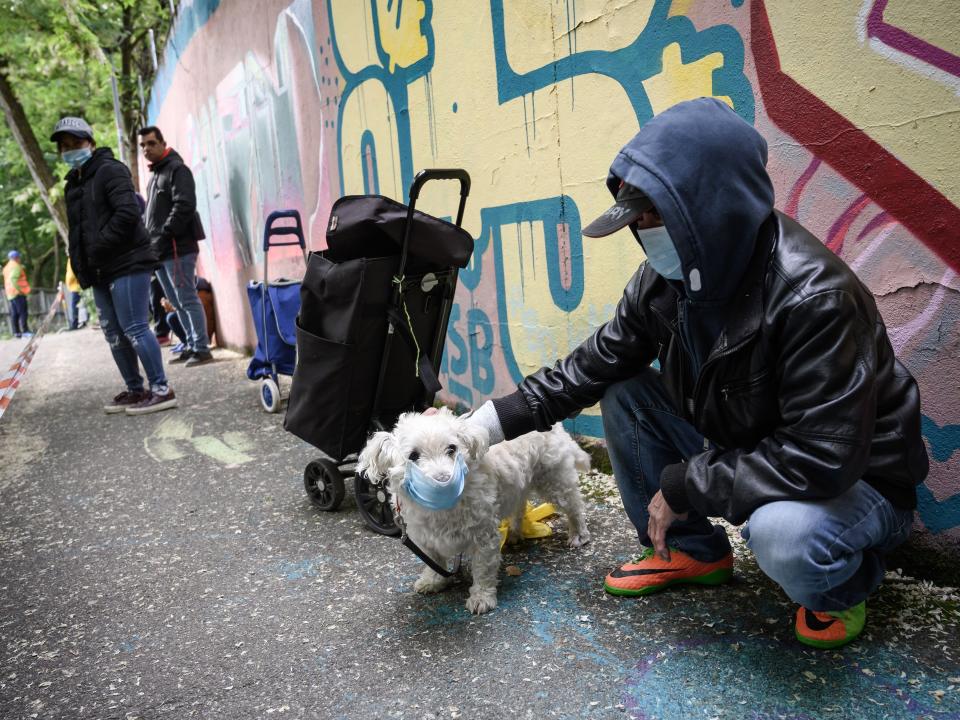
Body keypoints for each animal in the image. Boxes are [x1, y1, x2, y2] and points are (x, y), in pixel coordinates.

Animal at [356, 408, 588, 616]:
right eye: (413, 455)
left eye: (451, 449)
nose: (443, 479)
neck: (443, 507)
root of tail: (556, 426)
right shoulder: (424, 538)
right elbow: (434, 561)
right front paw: (433, 581)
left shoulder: (484, 537)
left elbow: (483, 569)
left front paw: (481, 598)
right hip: (518, 483)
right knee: (519, 506)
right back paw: (515, 532)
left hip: (554, 479)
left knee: (574, 505)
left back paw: (578, 534)